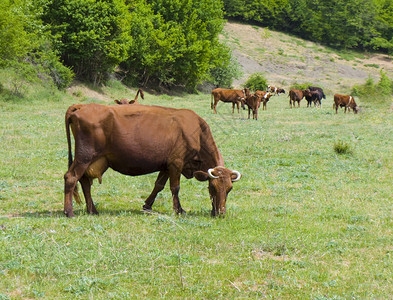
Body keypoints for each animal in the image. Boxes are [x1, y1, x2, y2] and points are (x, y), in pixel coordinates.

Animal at [64, 103, 240, 218]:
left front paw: (147, 205)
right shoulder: (176, 163)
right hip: (85, 156)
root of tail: (82, 105)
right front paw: (179, 210)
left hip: (90, 160)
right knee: (71, 177)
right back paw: (69, 212)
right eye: (212, 187)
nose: (221, 213)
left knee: (84, 182)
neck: (197, 131)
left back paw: (92, 210)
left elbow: (159, 185)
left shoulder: (166, 165)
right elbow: (175, 187)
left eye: (229, 189)